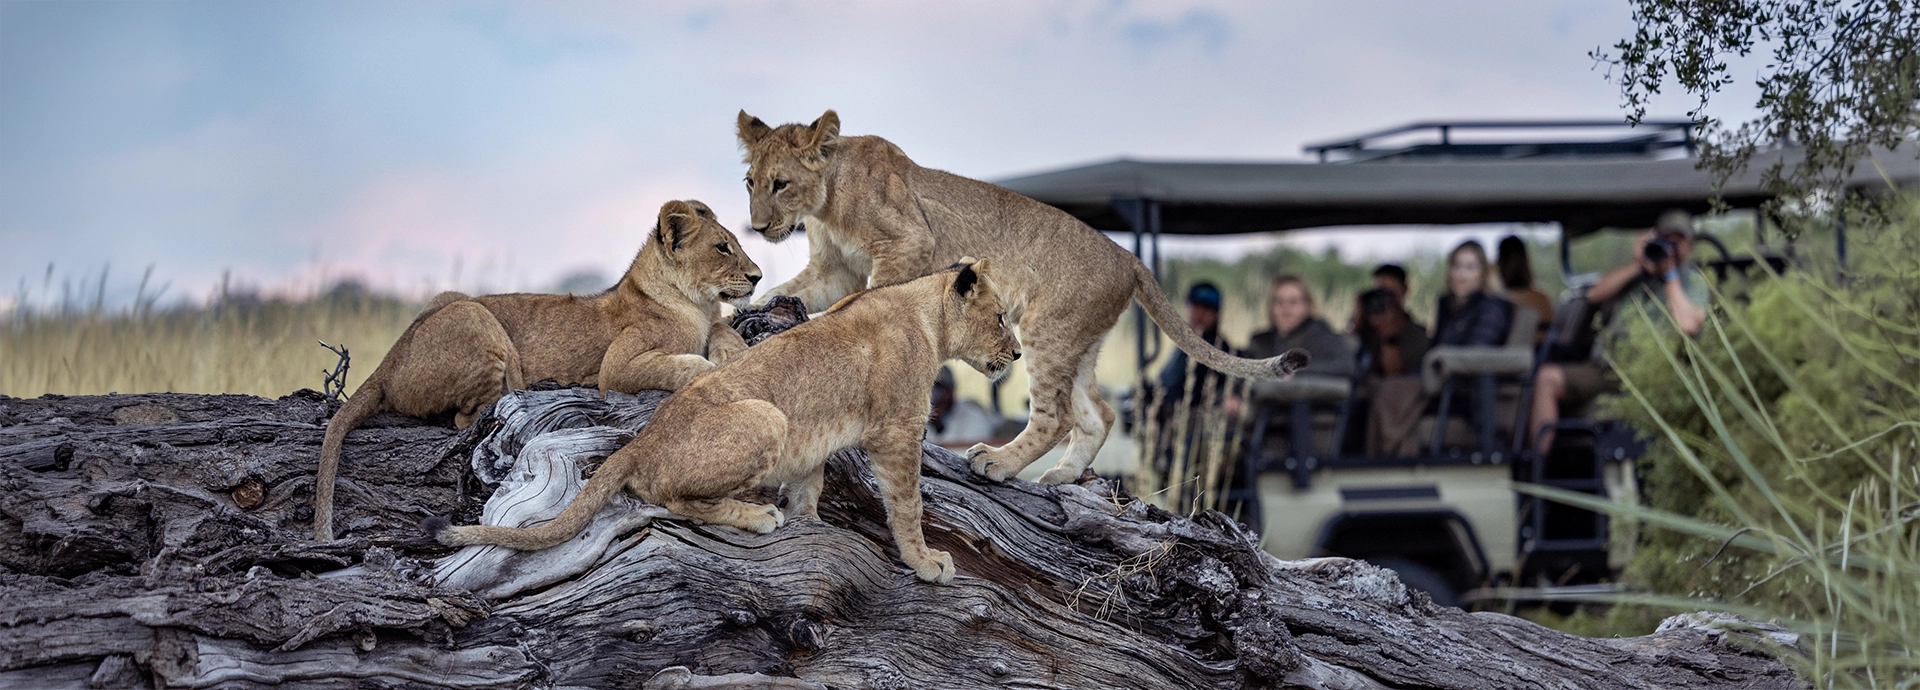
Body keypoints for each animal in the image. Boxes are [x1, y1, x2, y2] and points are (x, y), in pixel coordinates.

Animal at [314, 199, 761, 541]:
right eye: (722, 248)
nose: (758, 277)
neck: (694, 304)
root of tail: (388, 363)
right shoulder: (615, 368)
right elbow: (684, 365)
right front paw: (715, 367)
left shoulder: (712, 320)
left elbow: (724, 331)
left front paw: (735, 349)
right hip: (475, 316)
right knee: (463, 417)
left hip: (450, 298)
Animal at [429, 259, 1020, 584]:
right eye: (999, 318)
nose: (1016, 354)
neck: (928, 317)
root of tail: (640, 442)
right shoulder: (896, 431)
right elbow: (908, 506)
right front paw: (926, 563)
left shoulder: (816, 440)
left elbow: (809, 487)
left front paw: (810, 523)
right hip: (766, 414)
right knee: (678, 501)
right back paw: (756, 516)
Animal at [735, 110, 1309, 485]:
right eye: (750, 183)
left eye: (780, 183)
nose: (758, 227)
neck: (828, 198)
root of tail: (1129, 258)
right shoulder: (832, 269)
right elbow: (793, 289)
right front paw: (751, 306)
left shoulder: (909, 243)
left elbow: (881, 297)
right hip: (1080, 342)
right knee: (1100, 413)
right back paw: (1061, 476)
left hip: (1044, 329)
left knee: (1056, 415)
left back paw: (1000, 462)